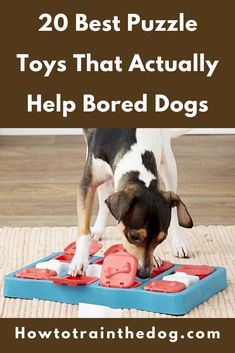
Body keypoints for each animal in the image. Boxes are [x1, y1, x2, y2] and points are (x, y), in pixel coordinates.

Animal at [68, 129, 193, 278]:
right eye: (134, 236)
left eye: (160, 240)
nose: (144, 273)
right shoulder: (87, 183)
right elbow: (84, 230)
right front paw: (79, 261)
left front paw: (155, 256)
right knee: (104, 196)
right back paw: (97, 230)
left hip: (168, 161)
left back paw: (179, 243)